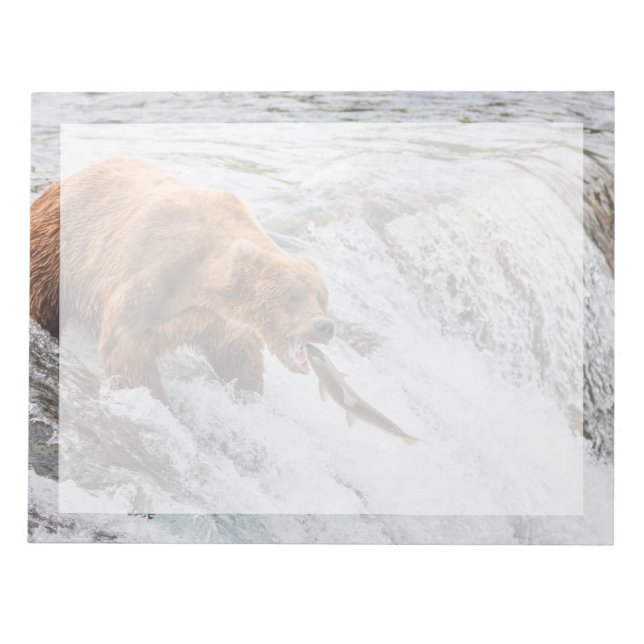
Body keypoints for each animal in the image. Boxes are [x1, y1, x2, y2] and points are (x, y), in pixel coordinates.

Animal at [30, 158, 334, 400]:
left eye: (322, 298)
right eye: (293, 297)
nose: (324, 327)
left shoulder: (215, 319)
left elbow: (237, 355)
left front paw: (247, 391)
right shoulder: (154, 268)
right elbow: (125, 342)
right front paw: (155, 397)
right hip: (57, 252)